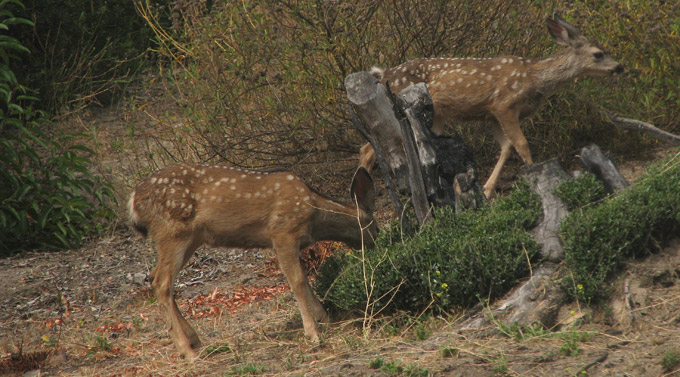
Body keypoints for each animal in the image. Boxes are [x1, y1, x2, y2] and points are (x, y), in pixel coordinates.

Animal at [127, 163, 378, 356]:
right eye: (374, 226)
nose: (376, 244)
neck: (313, 212)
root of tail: (134, 199)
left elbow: (305, 281)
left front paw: (324, 318)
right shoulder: (282, 232)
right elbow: (297, 281)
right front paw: (313, 333)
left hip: (191, 238)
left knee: (156, 278)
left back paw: (194, 340)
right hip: (172, 231)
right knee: (161, 282)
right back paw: (187, 352)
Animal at [358, 14, 624, 197]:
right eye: (598, 53)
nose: (620, 67)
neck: (534, 78)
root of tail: (382, 73)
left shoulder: (490, 115)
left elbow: (506, 146)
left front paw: (487, 188)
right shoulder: (504, 105)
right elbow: (521, 144)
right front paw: (535, 173)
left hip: (433, 116)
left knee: (372, 145)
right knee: (375, 145)